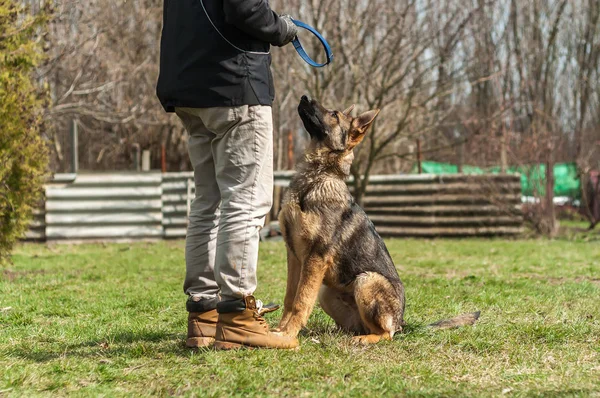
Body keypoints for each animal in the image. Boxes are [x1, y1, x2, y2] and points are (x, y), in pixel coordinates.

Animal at [276, 95, 478, 344]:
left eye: (334, 114)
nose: (304, 97)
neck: (316, 177)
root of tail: (402, 323)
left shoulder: (315, 257)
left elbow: (301, 301)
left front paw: (288, 334)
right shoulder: (294, 256)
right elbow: (289, 298)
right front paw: (279, 331)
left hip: (366, 280)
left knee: (385, 334)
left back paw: (363, 339)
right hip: (326, 292)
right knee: (357, 327)